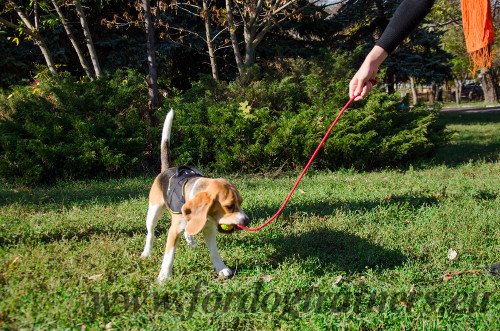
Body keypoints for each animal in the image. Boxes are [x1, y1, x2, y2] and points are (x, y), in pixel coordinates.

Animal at [141, 109, 250, 282]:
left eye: (241, 202)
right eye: (229, 206)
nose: (247, 220)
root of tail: (166, 169)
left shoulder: (209, 229)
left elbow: (214, 251)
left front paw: (221, 268)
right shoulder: (173, 232)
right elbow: (169, 255)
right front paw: (164, 276)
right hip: (153, 212)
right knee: (150, 233)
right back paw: (146, 252)